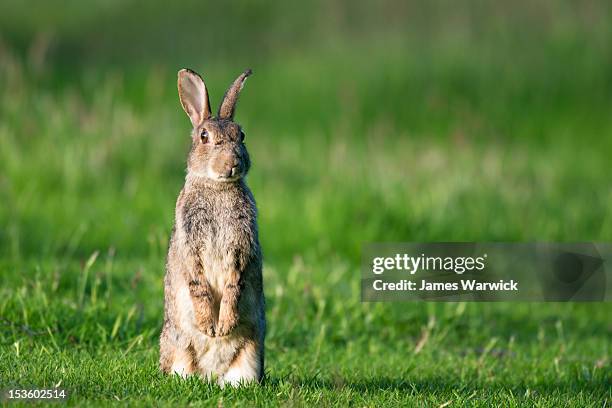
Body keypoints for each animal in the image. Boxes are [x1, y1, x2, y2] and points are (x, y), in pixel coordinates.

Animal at [159, 68, 264, 388]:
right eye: (204, 137)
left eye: (241, 135)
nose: (233, 163)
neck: (217, 186)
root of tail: (212, 375)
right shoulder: (190, 244)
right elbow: (198, 284)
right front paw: (209, 326)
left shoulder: (241, 248)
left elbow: (234, 284)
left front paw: (225, 325)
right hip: (178, 347)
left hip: (251, 353)